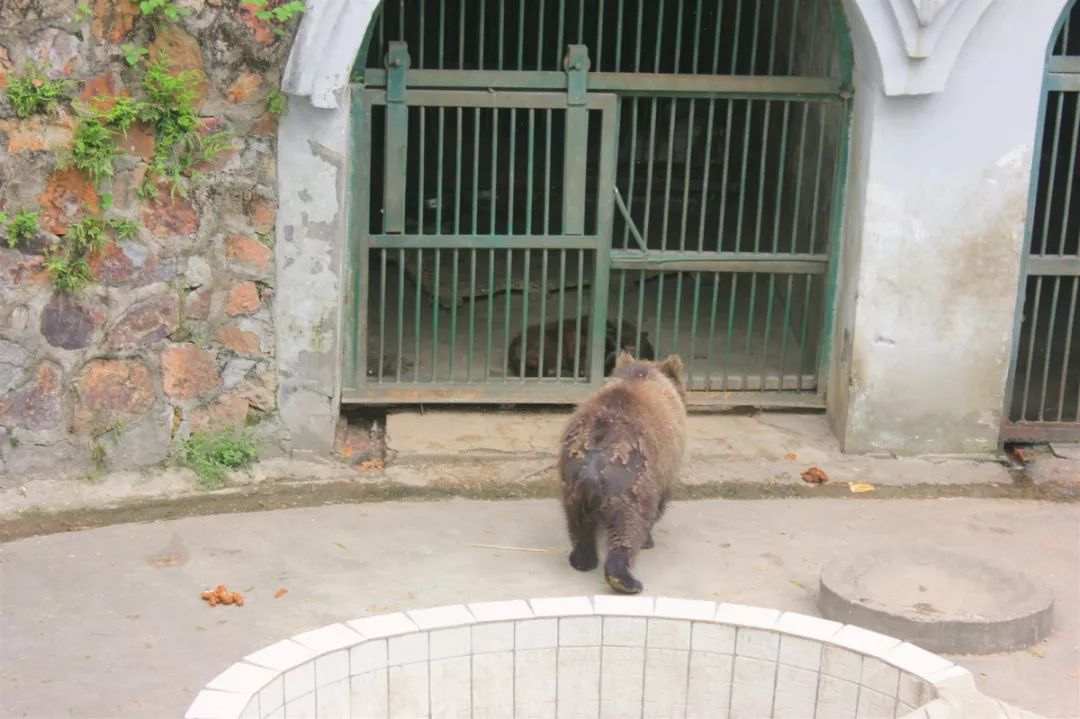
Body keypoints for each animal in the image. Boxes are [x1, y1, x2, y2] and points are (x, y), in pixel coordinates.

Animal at [561, 349, 686, 591]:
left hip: (572, 481)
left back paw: (582, 559)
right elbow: (660, 502)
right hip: (630, 482)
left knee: (578, 525)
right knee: (628, 526)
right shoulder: (665, 463)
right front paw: (649, 539)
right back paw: (626, 579)